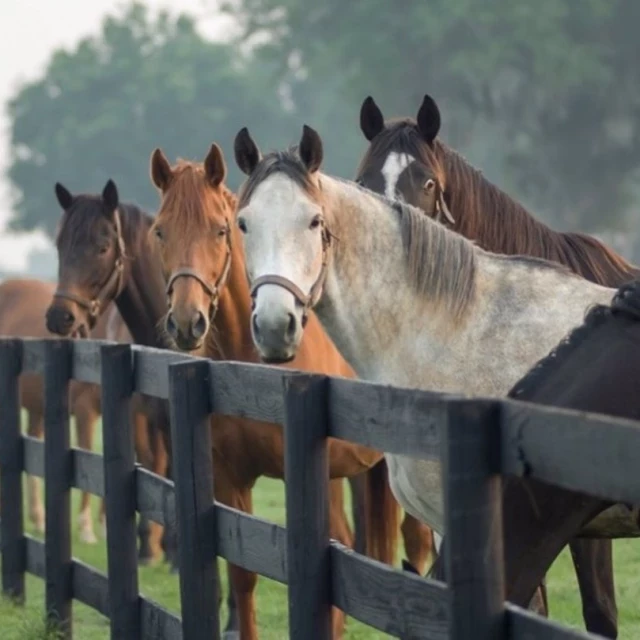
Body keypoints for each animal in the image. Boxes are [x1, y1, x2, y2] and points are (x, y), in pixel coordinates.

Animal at [148, 145, 408, 640]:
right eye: (159, 231)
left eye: (221, 229)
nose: (187, 322)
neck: (253, 371)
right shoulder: (230, 479)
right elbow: (243, 574)